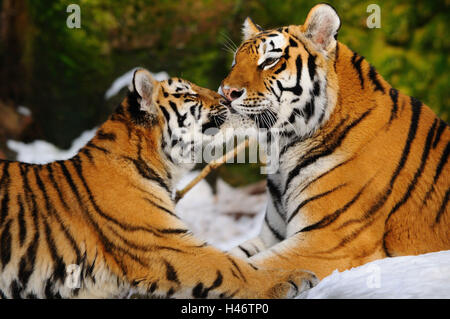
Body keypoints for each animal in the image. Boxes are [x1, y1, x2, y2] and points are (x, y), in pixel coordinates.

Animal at [0, 68, 316, 300]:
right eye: (189, 92)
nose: (227, 98)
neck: (161, 166)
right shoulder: (166, 243)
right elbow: (232, 267)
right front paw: (293, 278)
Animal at [221, 4, 450, 280]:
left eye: (269, 61)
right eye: (236, 61)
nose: (225, 93)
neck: (284, 146)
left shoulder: (328, 240)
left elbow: (244, 269)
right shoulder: (272, 235)